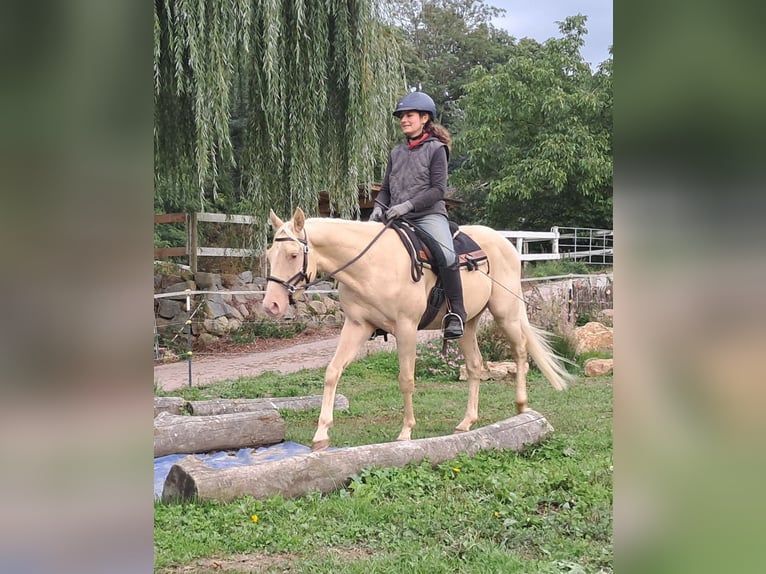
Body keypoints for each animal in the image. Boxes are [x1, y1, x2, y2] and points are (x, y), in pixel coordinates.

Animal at [263, 208, 572, 451]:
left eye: (293, 254)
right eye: (269, 254)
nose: (272, 305)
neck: (372, 264)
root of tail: (504, 242)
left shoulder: (407, 328)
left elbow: (406, 379)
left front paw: (405, 432)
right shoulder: (357, 326)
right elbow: (332, 372)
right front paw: (321, 435)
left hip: (505, 314)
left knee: (520, 353)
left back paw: (522, 407)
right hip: (468, 323)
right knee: (475, 366)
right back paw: (466, 422)